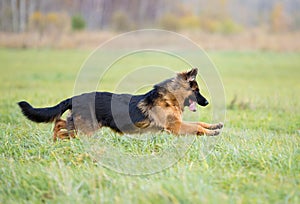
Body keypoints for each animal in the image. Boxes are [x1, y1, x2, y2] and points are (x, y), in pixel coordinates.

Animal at [17, 68, 223, 140]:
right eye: (197, 91)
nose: (207, 102)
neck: (169, 97)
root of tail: (75, 97)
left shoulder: (178, 125)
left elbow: (200, 123)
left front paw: (215, 126)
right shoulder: (175, 126)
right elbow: (197, 127)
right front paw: (211, 133)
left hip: (81, 125)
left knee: (60, 123)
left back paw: (55, 140)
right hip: (86, 127)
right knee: (61, 126)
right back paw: (57, 140)